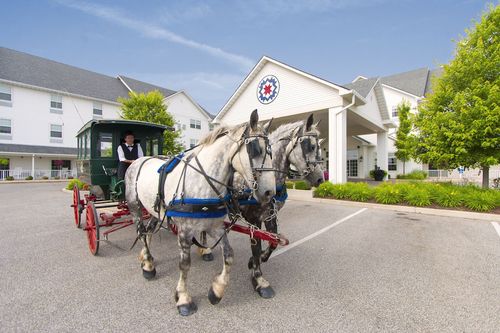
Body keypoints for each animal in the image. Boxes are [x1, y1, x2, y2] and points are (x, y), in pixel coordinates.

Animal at [123, 110, 276, 316]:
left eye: (271, 151)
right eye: (255, 149)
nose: (269, 192)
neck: (202, 180)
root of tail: (140, 160)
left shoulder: (216, 227)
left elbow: (229, 256)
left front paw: (216, 291)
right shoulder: (184, 231)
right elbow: (184, 264)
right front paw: (183, 298)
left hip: (156, 210)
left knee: (147, 231)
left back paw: (146, 258)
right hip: (135, 207)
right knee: (140, 231)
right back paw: (148, 265)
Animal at [199, 113, 324, 296]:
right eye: (311, 146)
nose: (321, 179)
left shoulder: (270, 215)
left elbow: (273, 241)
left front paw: (257, 260)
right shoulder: (254, 218)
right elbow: (256, 246)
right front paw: (258, 279)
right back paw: (205, 250)